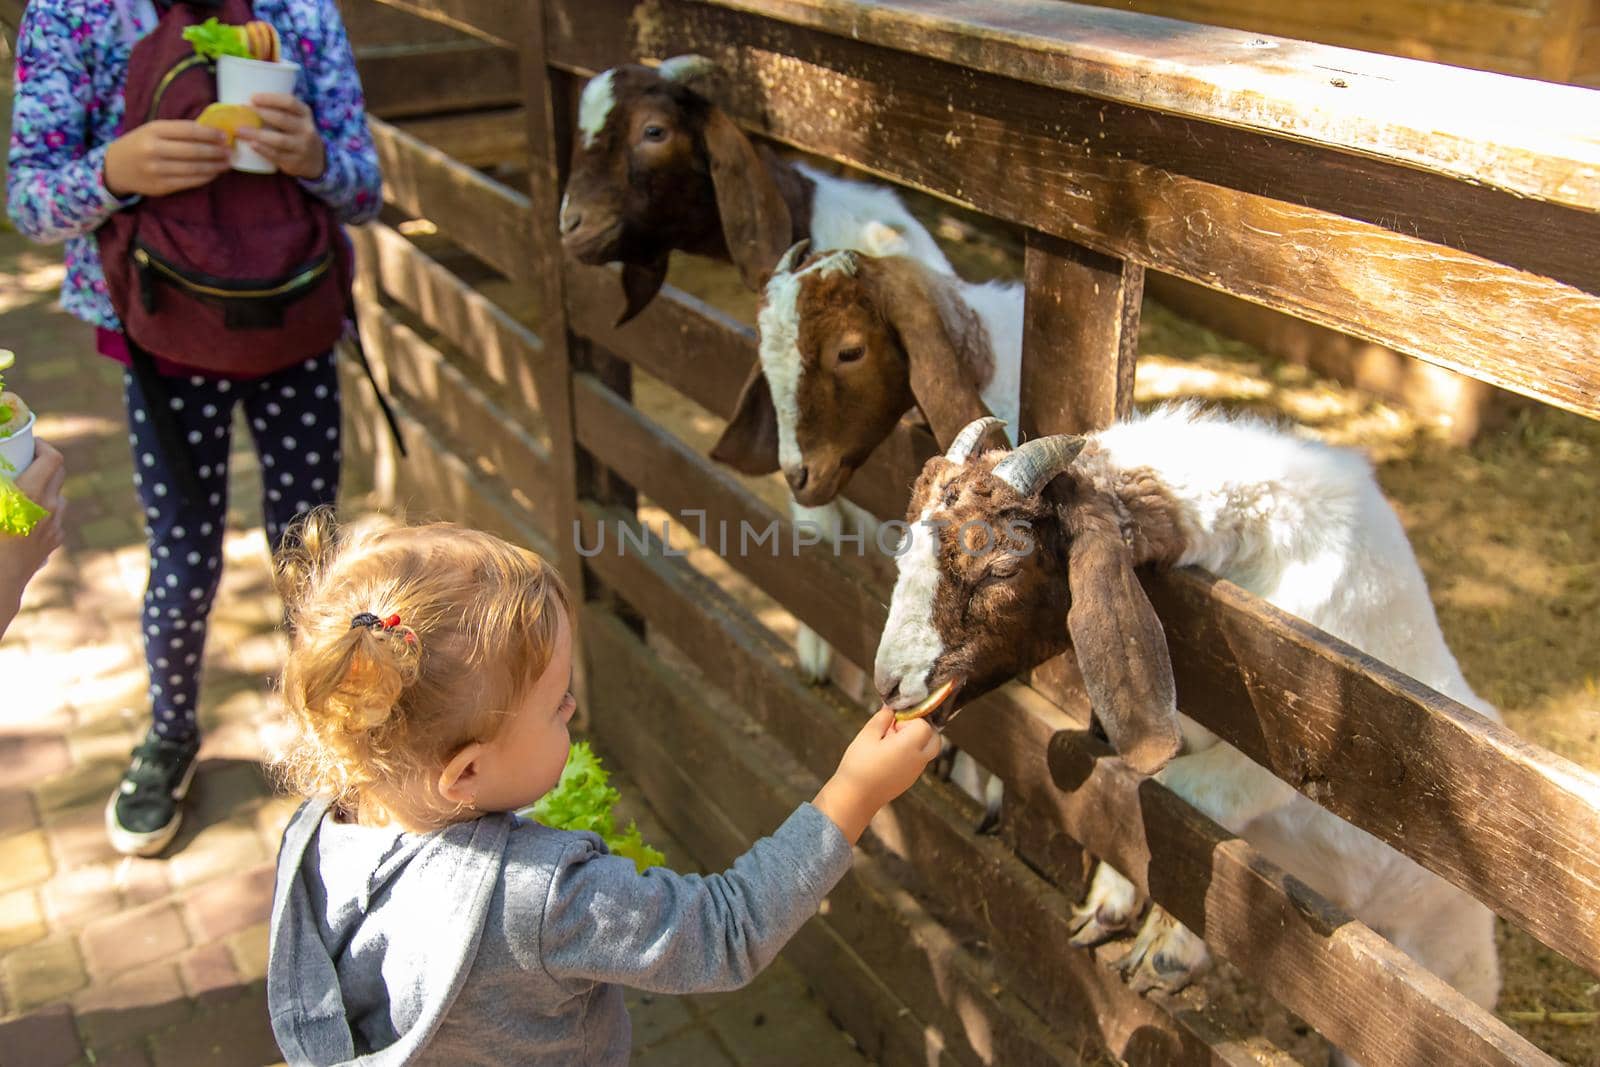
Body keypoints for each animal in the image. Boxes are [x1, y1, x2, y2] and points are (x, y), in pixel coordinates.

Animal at [876, 406, 1497, 1062]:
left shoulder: (1311, 754)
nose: (889, 684)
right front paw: (1113, 906)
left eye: (1001, 567)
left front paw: (1160, 945)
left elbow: (1180, 798)